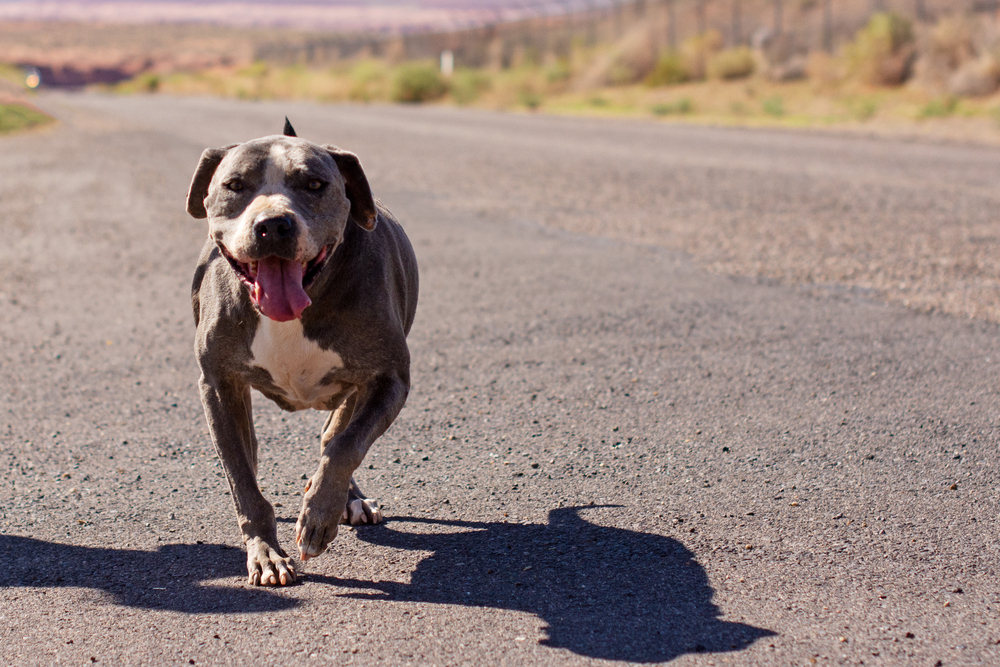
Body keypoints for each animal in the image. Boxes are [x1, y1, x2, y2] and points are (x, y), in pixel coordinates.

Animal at [186, 120, 416, 584]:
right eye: (234, 185)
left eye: (314, 184)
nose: (273, 224)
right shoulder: (218, 385)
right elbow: (242, 478)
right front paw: (265, 553)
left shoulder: (390, 379)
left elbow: (345, 445)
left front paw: (318, 517)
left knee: (336, 433)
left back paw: (347, 499)